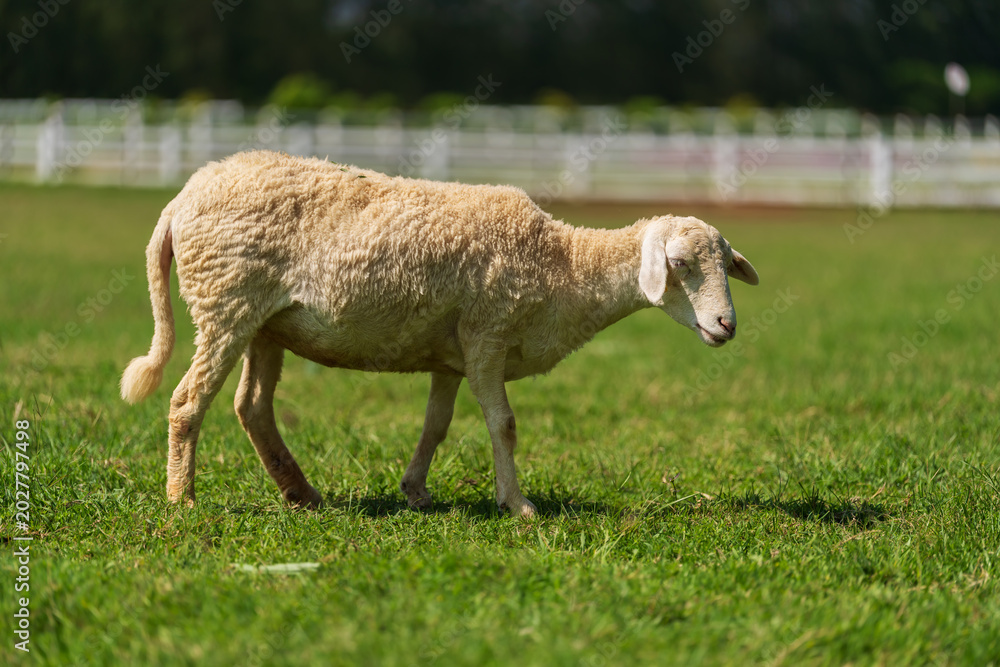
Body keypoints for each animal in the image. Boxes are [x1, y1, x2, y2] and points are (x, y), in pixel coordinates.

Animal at [120, 150, 758, 517]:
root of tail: (181, 199)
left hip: (263, 322)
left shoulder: (452, 356)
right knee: (187, 401)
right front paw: (517, 504)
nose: (725, 324)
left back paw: (301, 493)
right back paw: (182, 500)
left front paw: (416, 491)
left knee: (251, 406)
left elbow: (437, 425)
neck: (562, 265)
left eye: (727, 266)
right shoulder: (487, 335)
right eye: (679, 264)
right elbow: (504, 425)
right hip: (225, 302)